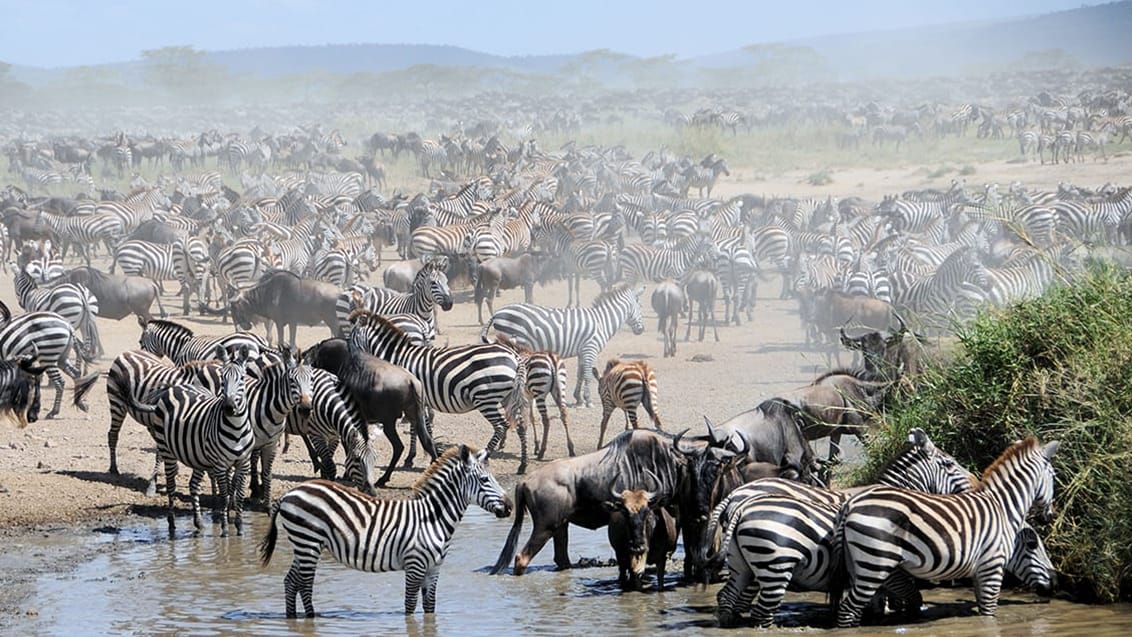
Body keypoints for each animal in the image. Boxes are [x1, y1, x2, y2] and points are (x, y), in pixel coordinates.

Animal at [130, 346, 254, 536]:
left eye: (241, 379)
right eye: (222, 379)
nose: (228, 408)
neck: (237, 428)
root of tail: (176, 386)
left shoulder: (243, 462)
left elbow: (239, 496)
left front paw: (239, 529)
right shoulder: (220, 464)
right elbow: (225, 496)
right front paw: (225, 530)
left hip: (197, 455)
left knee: (193, 485)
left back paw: (199, 523)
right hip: (167, 450)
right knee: (171, 485)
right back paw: (172, 524)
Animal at [259, 443, 511, 620]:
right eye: (485, 479)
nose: (509, 507)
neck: (433, 518)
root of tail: (288, 493)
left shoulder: (433, 569)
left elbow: (430, 608)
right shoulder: (415, 566)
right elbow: (410, 607)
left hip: (303, 545)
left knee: (291, 582)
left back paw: (292, 619)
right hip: (308, 542)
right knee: (304, 585)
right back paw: (310, 619)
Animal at [482, 285, 647, 409]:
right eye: (640, 306)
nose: (641, 330)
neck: (602, 321)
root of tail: (498, 312)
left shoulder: (582, 351)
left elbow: (581, 373)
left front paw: (578, 399)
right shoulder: (590, 348)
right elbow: (588, 374)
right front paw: (588, 400)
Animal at [833, 436, 1059, 624]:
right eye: (1032, 545)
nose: (1055, 582)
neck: (1002, 507)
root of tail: (851, 503)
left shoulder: (979, 571)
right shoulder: (992, 567)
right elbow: (989, 614)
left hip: (858, 565)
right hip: (875, 564)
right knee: (848, 610)